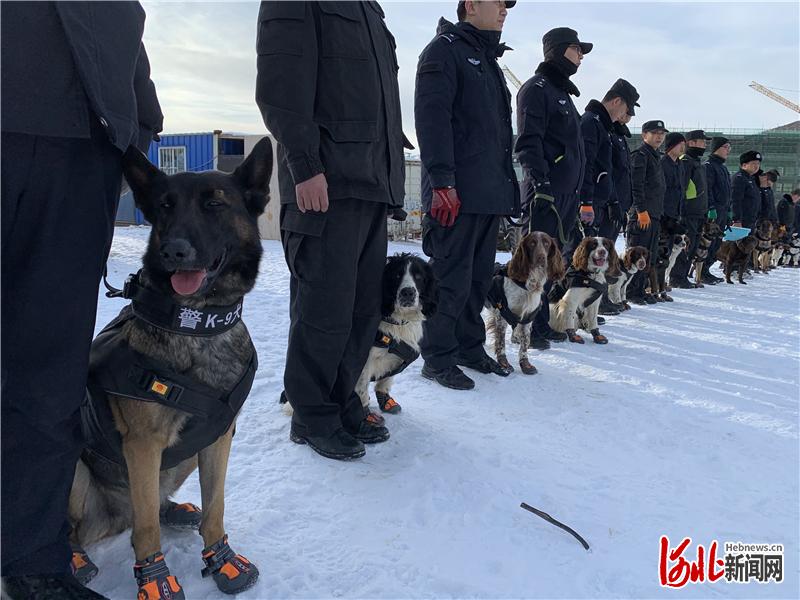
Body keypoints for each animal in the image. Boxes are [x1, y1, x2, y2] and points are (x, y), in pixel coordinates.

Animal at [67, 137, 272, 600]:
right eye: (164, 206)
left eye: (214, 204)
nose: (173, 251)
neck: (198, 326)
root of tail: (108, 518)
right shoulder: (143, 445)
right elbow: (146, 532)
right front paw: (155, 580)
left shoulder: (218, 436)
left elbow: (216, 507)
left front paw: (221, 559)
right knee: (78, 526)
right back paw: (74, 558)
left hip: (185, 455)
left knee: (152, 505)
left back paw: (174, 510)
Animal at [484, 232, 564, 372]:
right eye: (532, 243)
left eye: (546, 243)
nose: (541, 257)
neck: (529, 284)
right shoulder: (502, 315)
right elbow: (501, 342)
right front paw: (504, 364)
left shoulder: (528, 318)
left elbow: (525, 342)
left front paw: (525, 364)